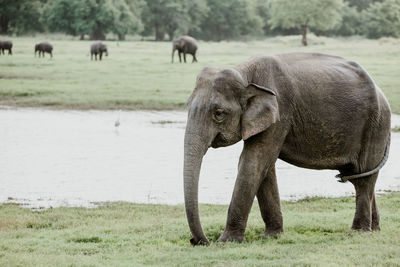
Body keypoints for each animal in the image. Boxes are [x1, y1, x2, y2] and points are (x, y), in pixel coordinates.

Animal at [184, 52, 390, 247]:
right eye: (187, 108)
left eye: (218, 114)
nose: (197, 241)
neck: (244, 73)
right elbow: (265, 167)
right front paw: (272, 236)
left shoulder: (281, 111)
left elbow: (253, 162)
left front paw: (227, 241)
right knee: (361, 177)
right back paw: (375, 229)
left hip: (375, 125)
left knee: (363, 177)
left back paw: (359, 232)